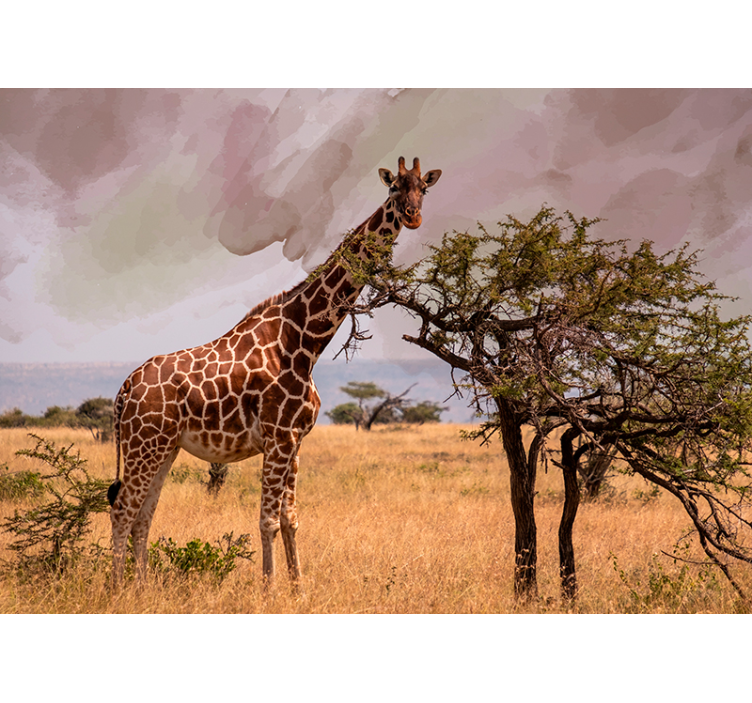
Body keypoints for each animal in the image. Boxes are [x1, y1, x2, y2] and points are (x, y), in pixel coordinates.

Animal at [108, 156, 442, 586]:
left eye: (423, 188)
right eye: (394, 188)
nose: (413, 216)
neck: (305, 339)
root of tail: (125, 389)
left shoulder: (296, 440)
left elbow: (291, 519)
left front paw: (298, 588)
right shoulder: (278, 437)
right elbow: (266, 520)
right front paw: (268, 588)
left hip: (164, 447)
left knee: (143, 516)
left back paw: (142, 589)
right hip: (144, 444)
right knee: (123, 510)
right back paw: (118, 590)